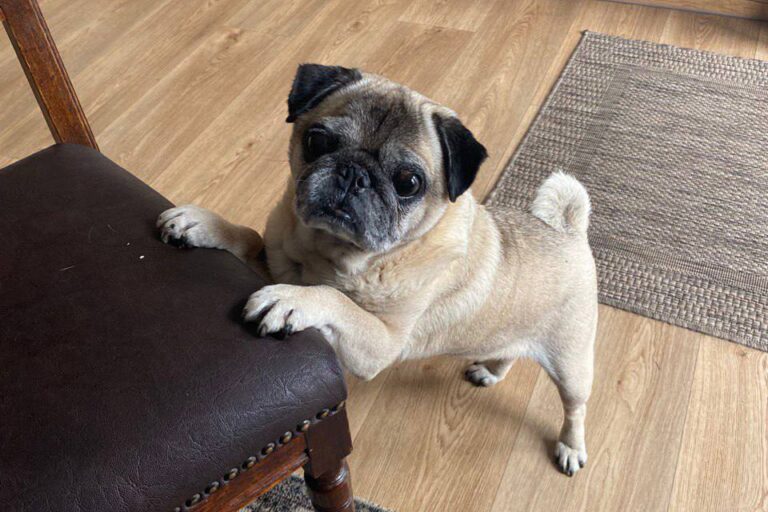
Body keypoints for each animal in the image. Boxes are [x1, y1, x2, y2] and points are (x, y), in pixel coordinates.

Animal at [157, 64, 598, 476]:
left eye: (408, 183)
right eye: (317, 142)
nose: (354, 173)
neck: (334, 255)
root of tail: (571, 231)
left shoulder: (381, 343)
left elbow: (333, 299)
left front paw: (292, 300)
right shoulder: (276, 263)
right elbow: (249, 239)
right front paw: (204, 225)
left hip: (571, 363)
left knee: (575, 407)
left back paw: (571, 447)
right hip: (510, 334)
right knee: (509, 351)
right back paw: (490, 371)